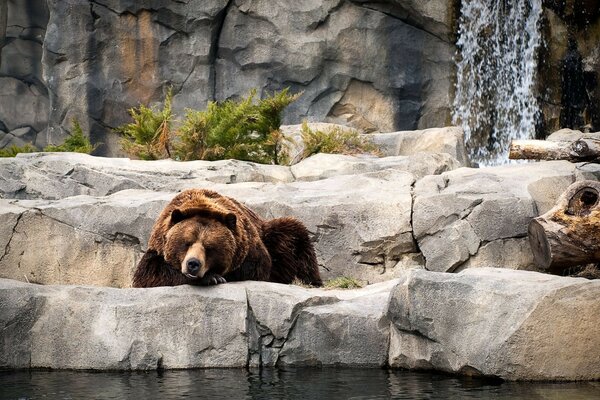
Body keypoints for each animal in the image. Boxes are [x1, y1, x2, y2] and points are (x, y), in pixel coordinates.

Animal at [131, 188, 318, 288]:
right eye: (186, 243)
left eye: (209, 247)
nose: (193, 264)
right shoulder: (157, 247)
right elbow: (149, 274)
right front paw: (211, 277)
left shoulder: (250, 248)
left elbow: (256, 268)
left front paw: (215, 276)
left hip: (273, 234)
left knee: (295, 237)